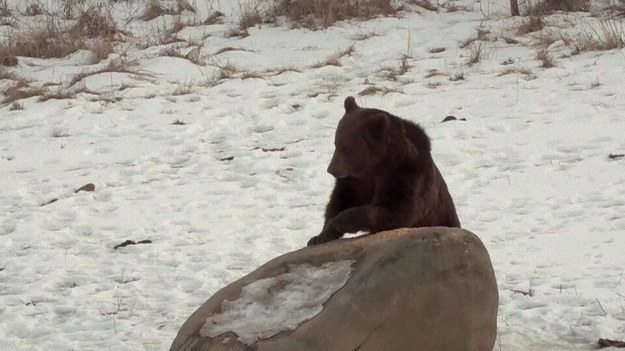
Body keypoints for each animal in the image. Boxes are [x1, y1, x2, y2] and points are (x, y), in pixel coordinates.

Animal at [306, 95, 458, 246]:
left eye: (347, 148)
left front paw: (341, 220)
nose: (331, 169)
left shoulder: (404, 174)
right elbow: (338, 201)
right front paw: (319, 236)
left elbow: (395, 210)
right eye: (336, 144)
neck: (374, 165)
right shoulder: (352, 182)